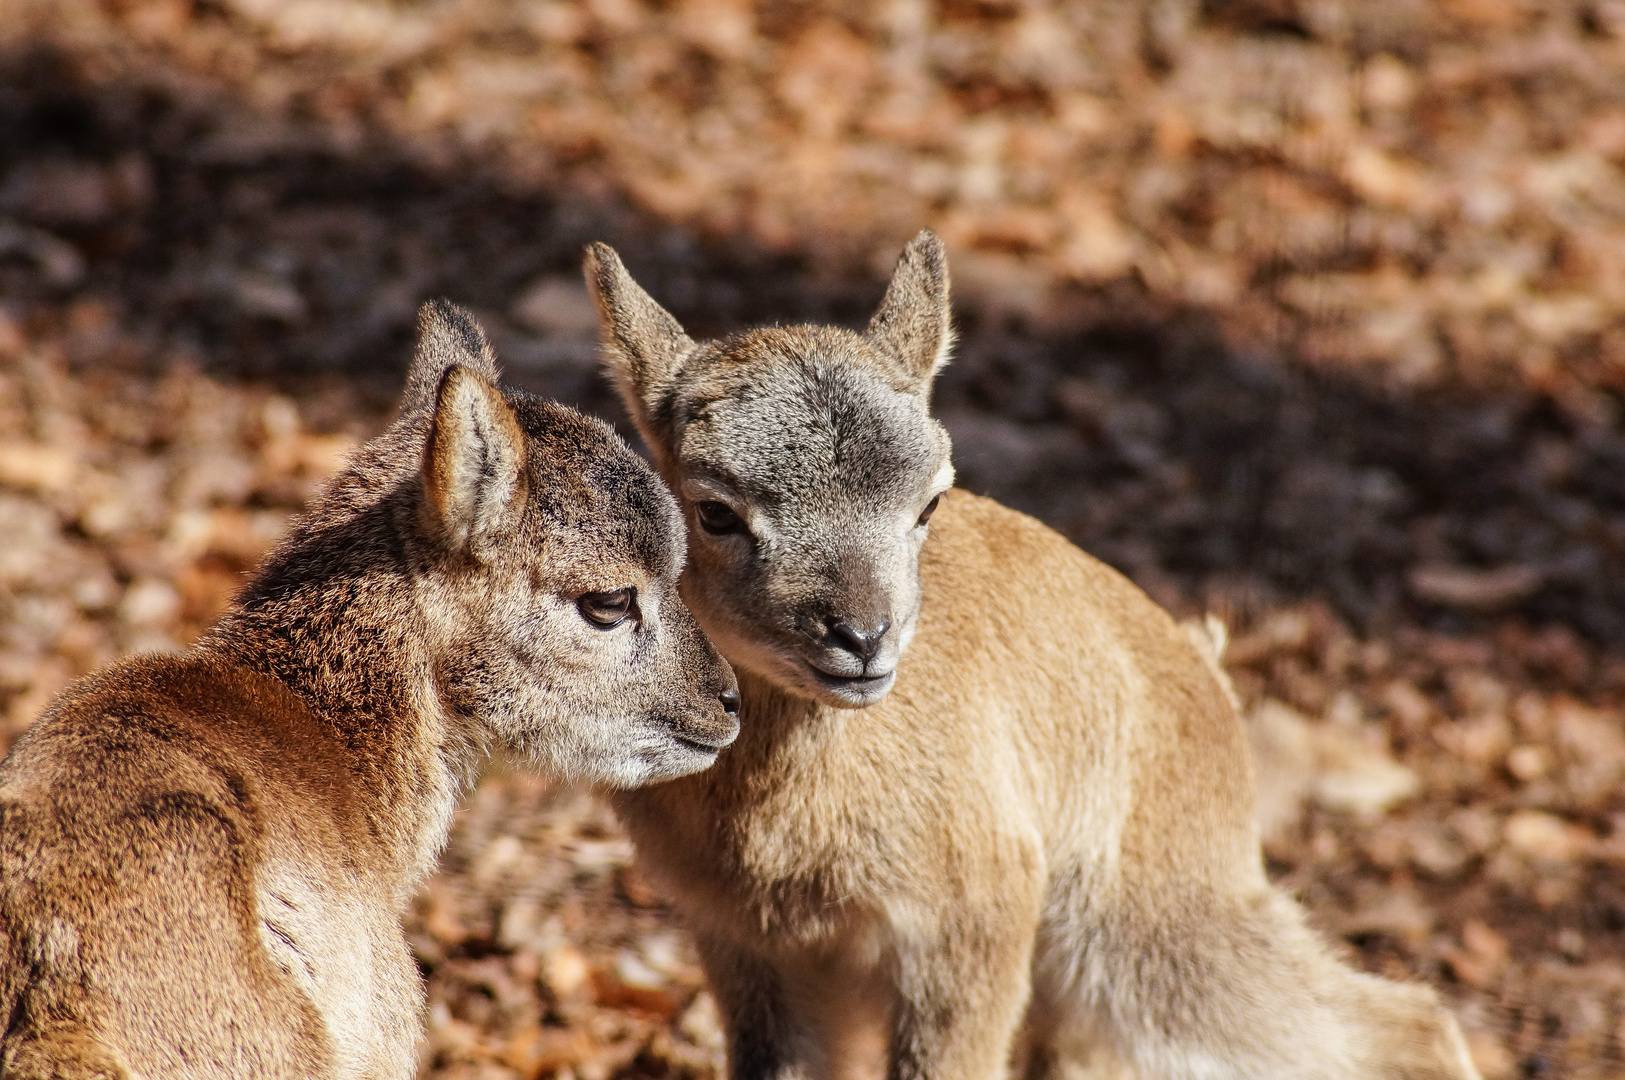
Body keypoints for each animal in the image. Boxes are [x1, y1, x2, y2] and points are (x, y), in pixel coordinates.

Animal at [588, 235, 1488, 1078]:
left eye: (930, 502)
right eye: (713, 509)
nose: (862, 637)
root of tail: (1205, 675)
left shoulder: (969, 929)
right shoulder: (752, 949)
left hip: (1147, 935)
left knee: (1405, 1024)